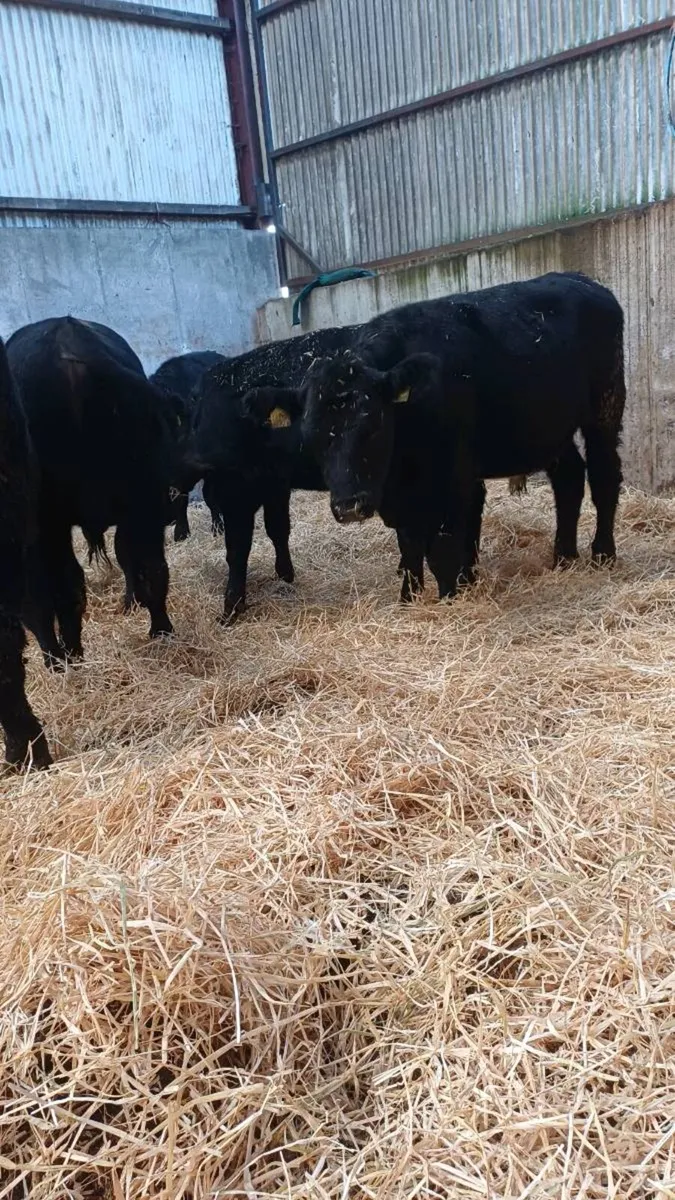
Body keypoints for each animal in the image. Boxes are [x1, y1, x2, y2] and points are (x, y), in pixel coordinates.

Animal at [6, 317, 184, 665]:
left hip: (52, 522)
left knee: (61, 588)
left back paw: (66, 657)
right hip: (143, 501)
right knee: (152, 569)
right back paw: (162, 632)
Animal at [190, 326, 359, 622]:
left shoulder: (237, 488)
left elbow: (238, 547)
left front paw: (231, 607)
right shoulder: (272, 483)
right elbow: (277, 528)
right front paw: (285, 575)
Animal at [273, 272, 625, 603]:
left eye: (373, 425)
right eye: (312, 438)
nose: (348, 507)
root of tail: (582, 280)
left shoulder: (453, 478)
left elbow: (444, 547)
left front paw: (449, 597)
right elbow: (410, 546)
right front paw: (409, 599)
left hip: (605, 407)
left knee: (604, 475)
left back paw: (603, 554)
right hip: (550, 427)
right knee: (569, 478)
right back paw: (563, 557)